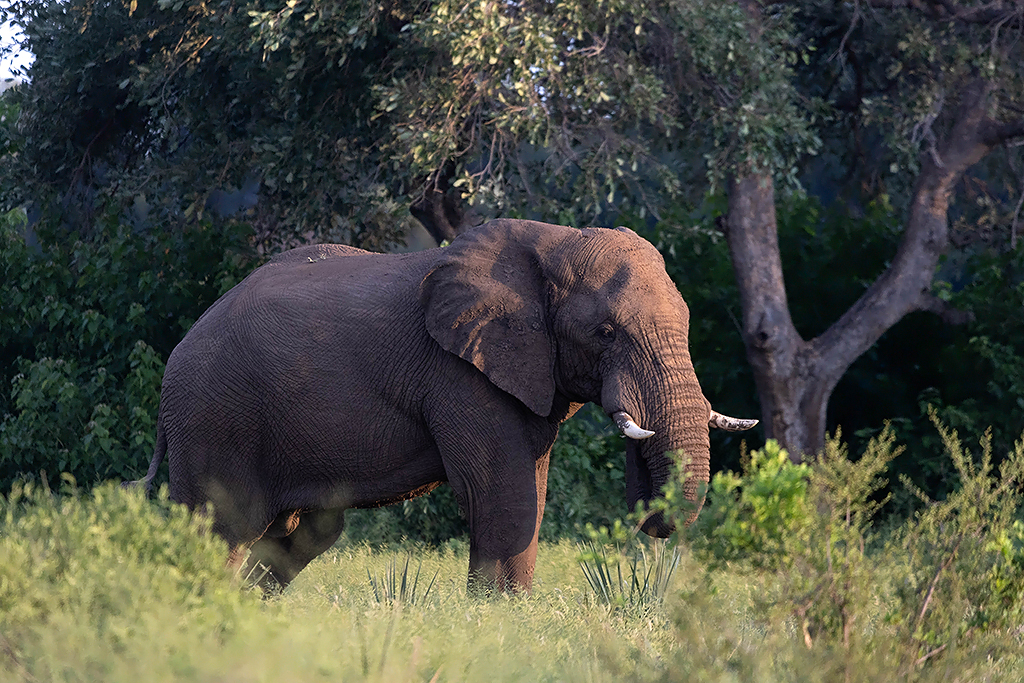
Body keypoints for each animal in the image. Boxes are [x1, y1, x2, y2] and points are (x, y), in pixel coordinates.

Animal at [134, 218, 756, 592]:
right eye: (605, 332)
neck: (551, 241)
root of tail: (176, 357)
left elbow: (529, 486)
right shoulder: (459, 374)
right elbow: (502, 493)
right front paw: (502, 619)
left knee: (298, 532)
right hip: (214, 416)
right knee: (219, 528)